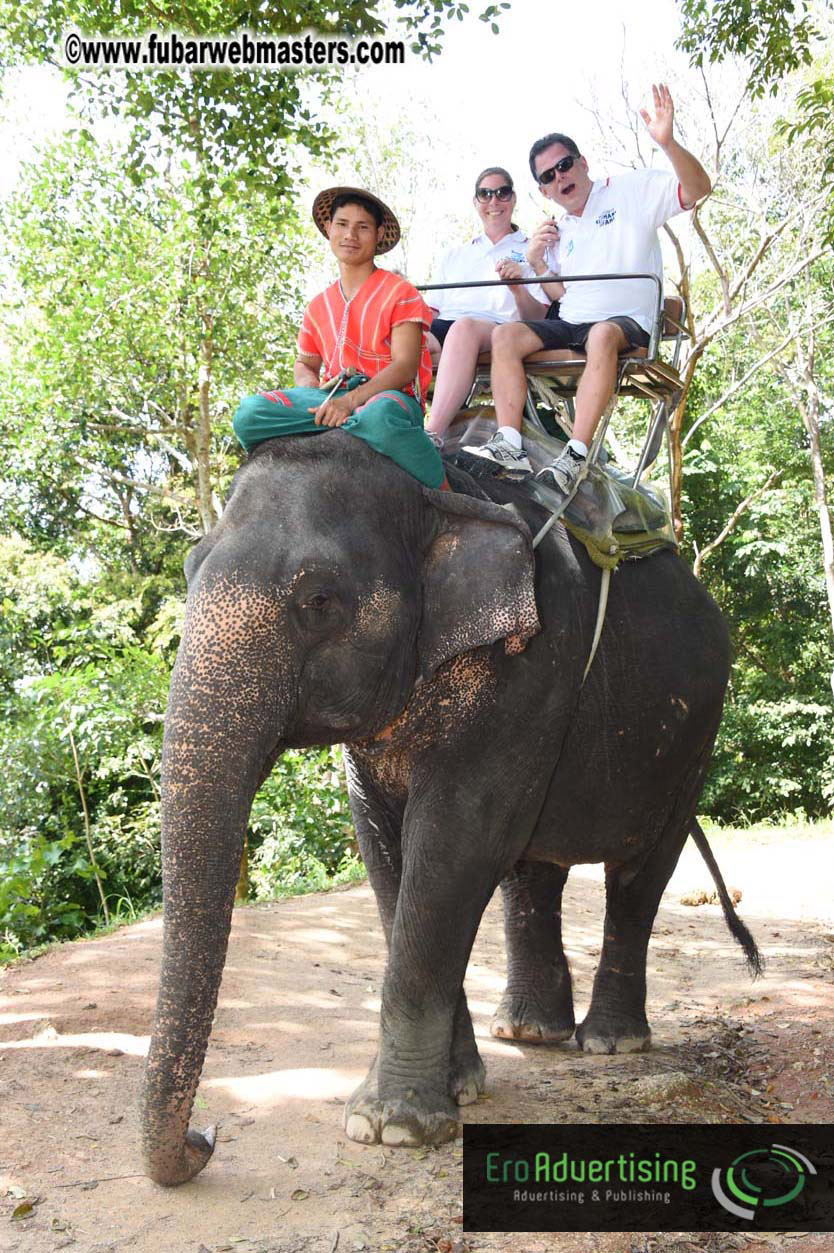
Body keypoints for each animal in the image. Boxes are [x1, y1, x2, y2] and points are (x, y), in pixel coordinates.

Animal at [139, 432, 760, 1187]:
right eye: (189, 570)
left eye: (319, 599)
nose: (207, 1136)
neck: (439, 492)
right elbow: (387, 853)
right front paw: (454, 1090)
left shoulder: (531, 664)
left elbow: (454, 843)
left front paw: (393, 1125)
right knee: (533, 871)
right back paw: (529, 1032)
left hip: (697, 737)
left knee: (639, 874)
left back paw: (610, 1043)